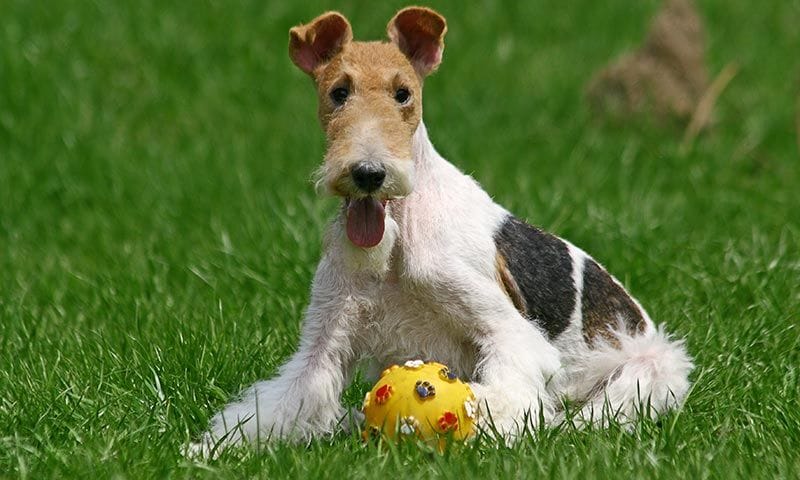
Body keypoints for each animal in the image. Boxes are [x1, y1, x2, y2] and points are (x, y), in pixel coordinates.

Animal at [189, 7, 692, 456]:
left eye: (403, 94)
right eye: (338, 92)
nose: (369, 173)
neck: (395, 239)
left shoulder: (505, 328)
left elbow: (498, 390)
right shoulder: (326, 342)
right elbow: (281, 402)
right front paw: (210, 449)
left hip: (652, 369)